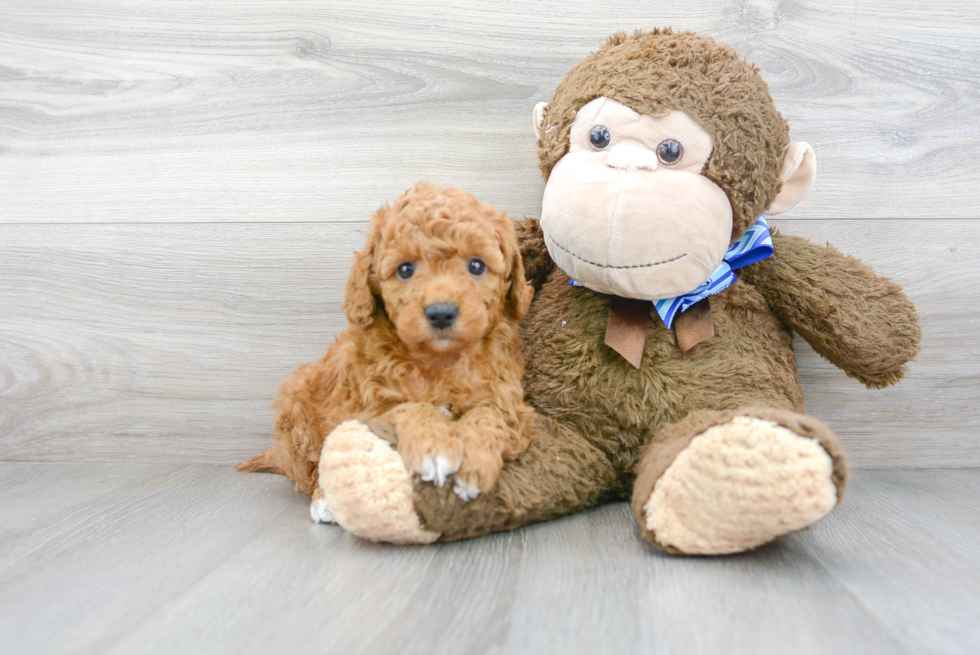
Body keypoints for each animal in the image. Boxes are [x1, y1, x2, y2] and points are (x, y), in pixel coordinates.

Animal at [239, 183, 536, 512]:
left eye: (476, 265)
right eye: (405, 270)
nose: (441, 313)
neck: (440, 360)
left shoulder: (509, 403)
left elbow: (490, 417)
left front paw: (474, 463)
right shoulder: (368, 405)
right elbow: (411, 407)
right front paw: (435, 447)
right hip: (295, 413)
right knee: (312, 467)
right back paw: (324, 498)